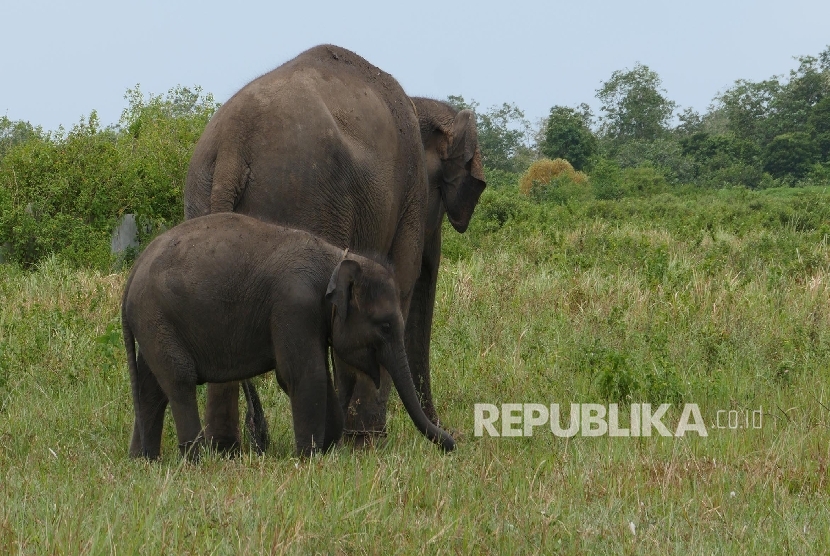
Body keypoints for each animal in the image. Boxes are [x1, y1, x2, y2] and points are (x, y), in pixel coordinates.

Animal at [123, 211, 456, 458]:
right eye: (385, 326)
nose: (453, 443)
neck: (336, 259)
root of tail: (134, 269)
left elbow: (316, 373)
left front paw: (327, 447)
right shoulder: (294, 304)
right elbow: (302, 374)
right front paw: (309, 456)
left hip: (153, 322)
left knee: (151, 388)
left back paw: (145, 460)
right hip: (156, 316)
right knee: (179, 380)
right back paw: (194, 460)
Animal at [185, 43, 484, 452]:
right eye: (443, 192)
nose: (451, 438)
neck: (419, 105)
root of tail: (233, 145)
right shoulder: (409, 195)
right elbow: (394, 289)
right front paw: (365, 442)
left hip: (204, 194)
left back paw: (228, 447)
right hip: (303, 197)